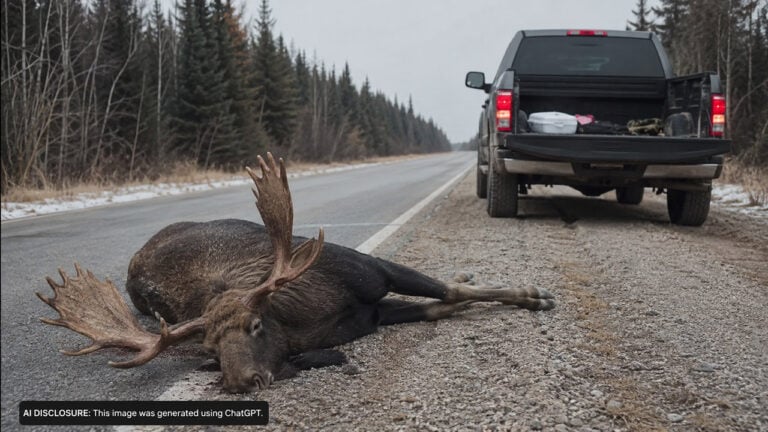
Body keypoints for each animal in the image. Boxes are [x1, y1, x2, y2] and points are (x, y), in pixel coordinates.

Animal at [38, 153, 555, 393]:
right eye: (209, 349)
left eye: (256, 324)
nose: (240, 382)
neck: (313, 316)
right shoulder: (371, 316)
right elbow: (439, 308)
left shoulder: (372, 270)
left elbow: (444, 292)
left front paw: (534, 294)